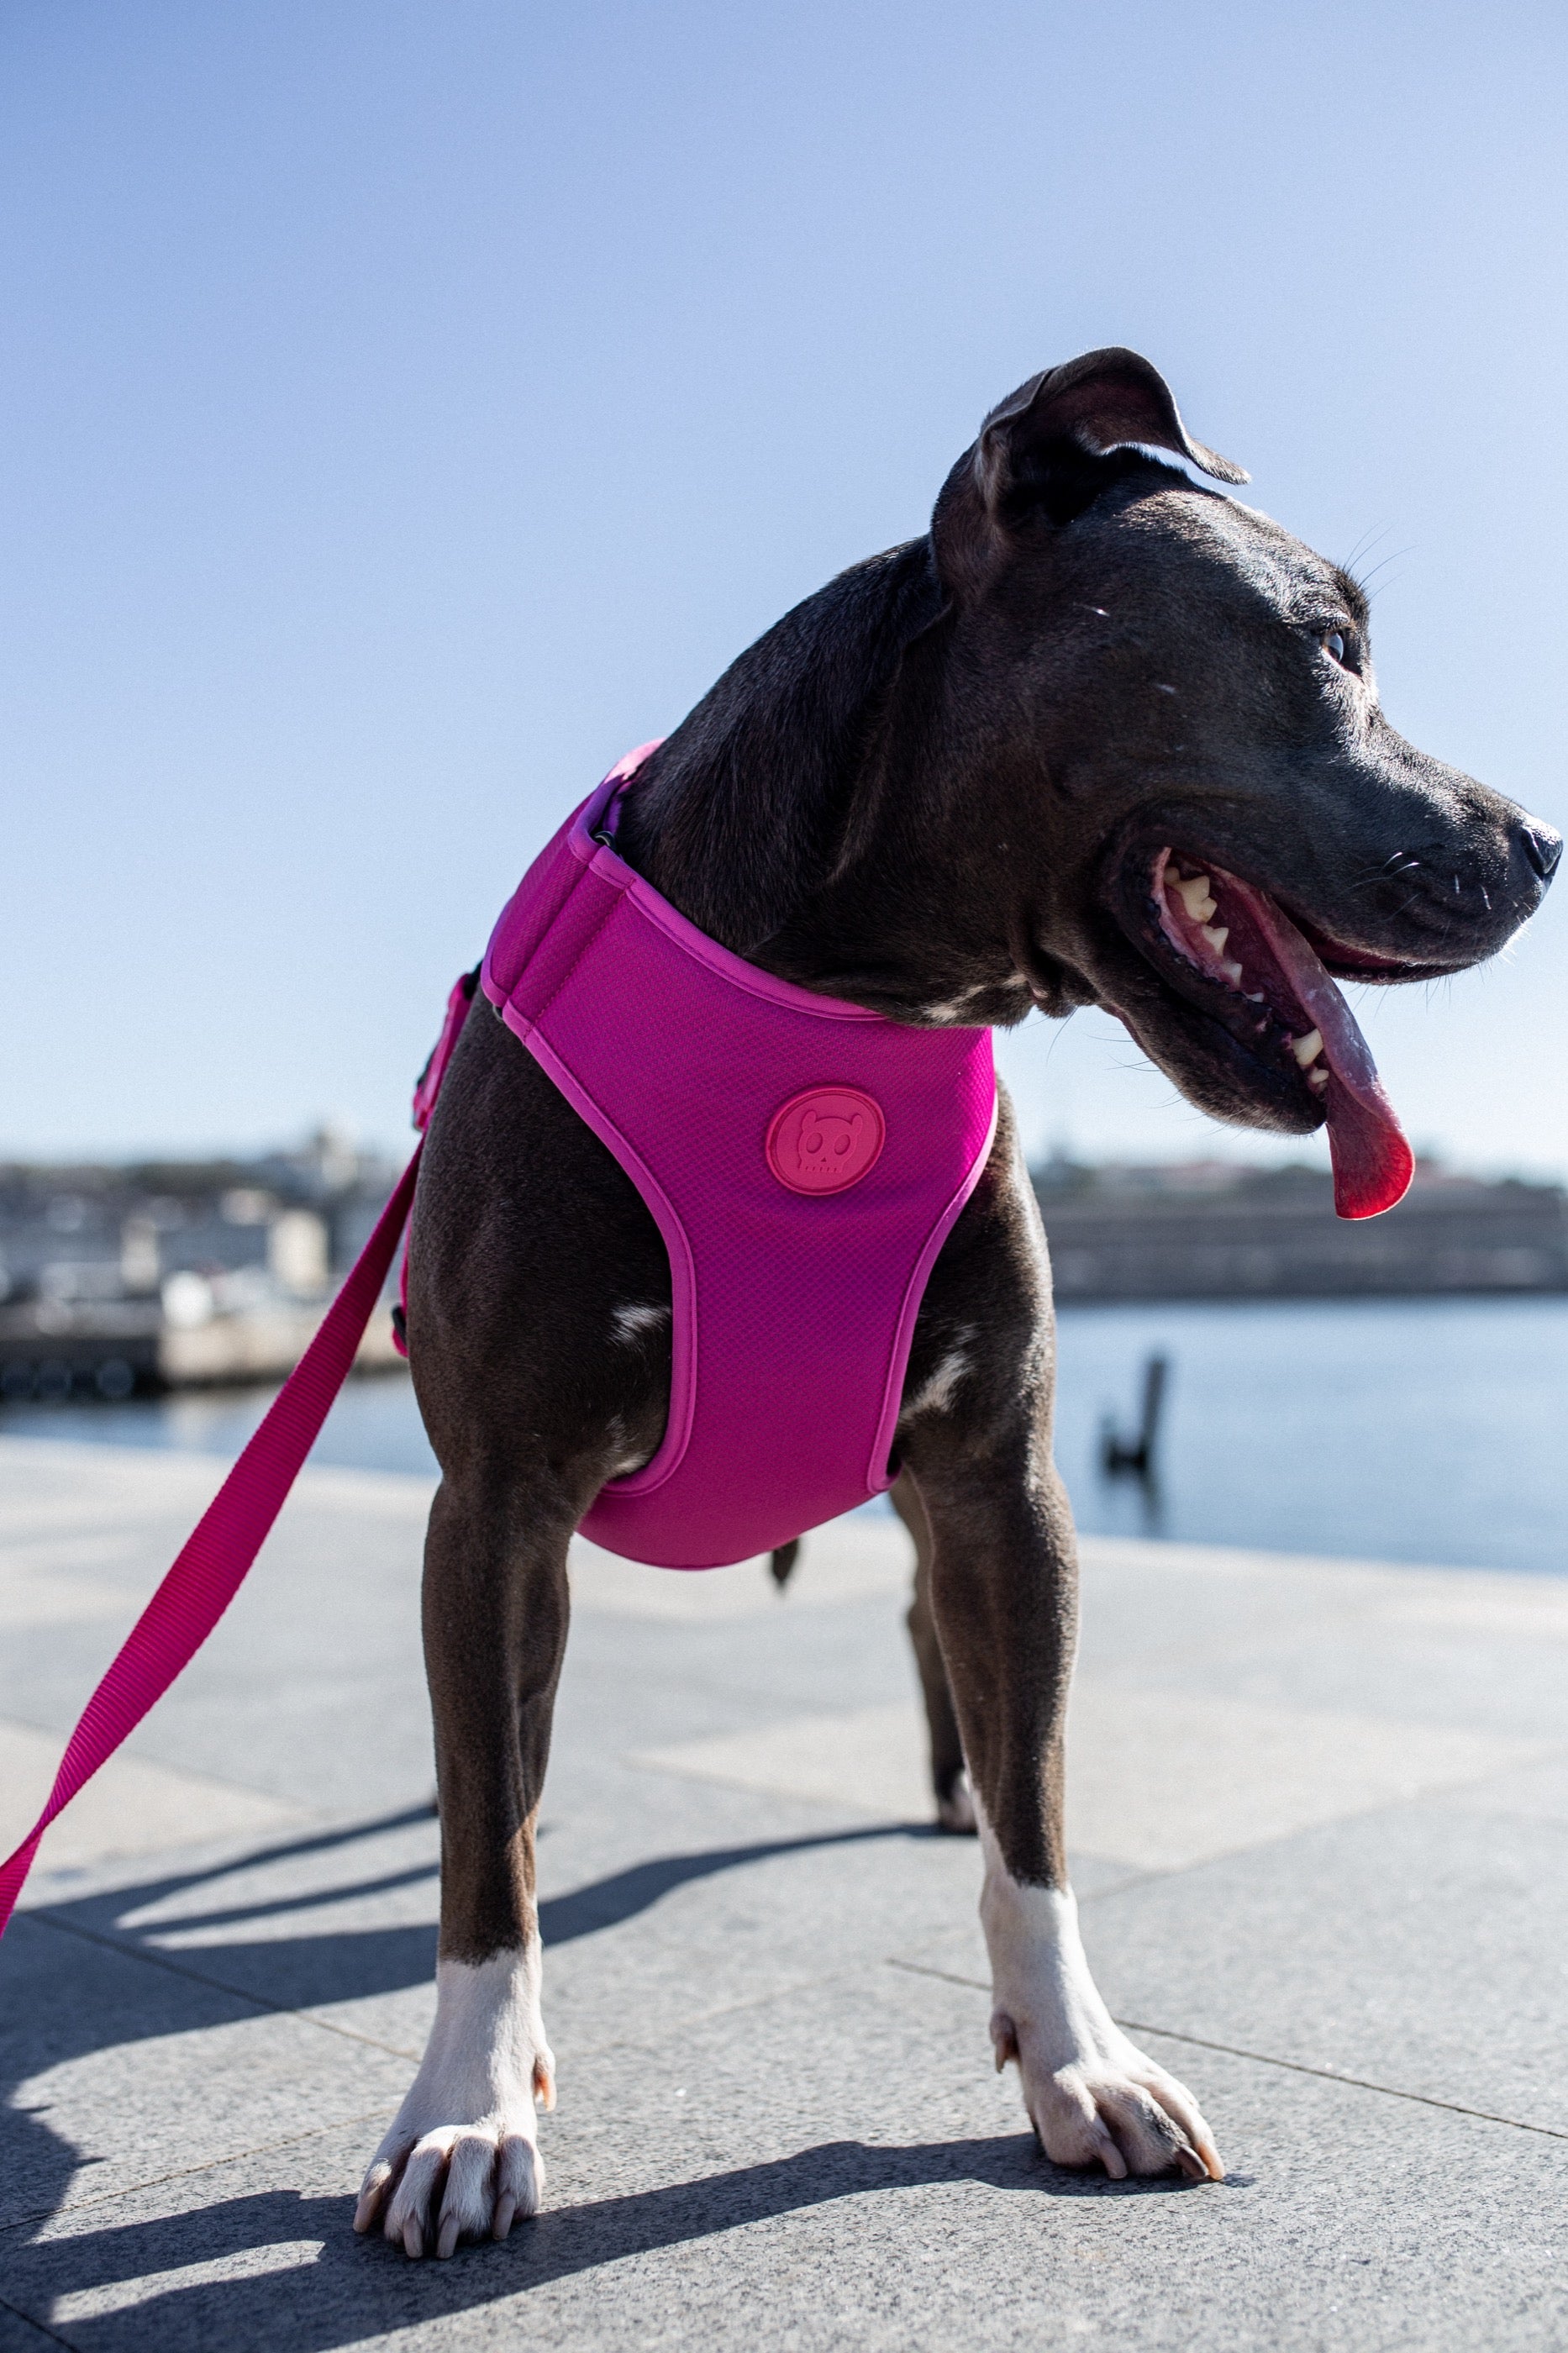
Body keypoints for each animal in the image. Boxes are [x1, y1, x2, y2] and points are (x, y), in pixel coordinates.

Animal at [353, 349, 1559, 2255]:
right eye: (1327, 644)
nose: (1537, 841)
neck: (851, 1002)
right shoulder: (496, 1502)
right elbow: (494, 1858)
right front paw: (467, 2109)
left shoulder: (1005, 1485)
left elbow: (1041, 1814)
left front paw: (1081, 2063)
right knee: (493, 1766)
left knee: (939, 1659)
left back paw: (940, 1797)